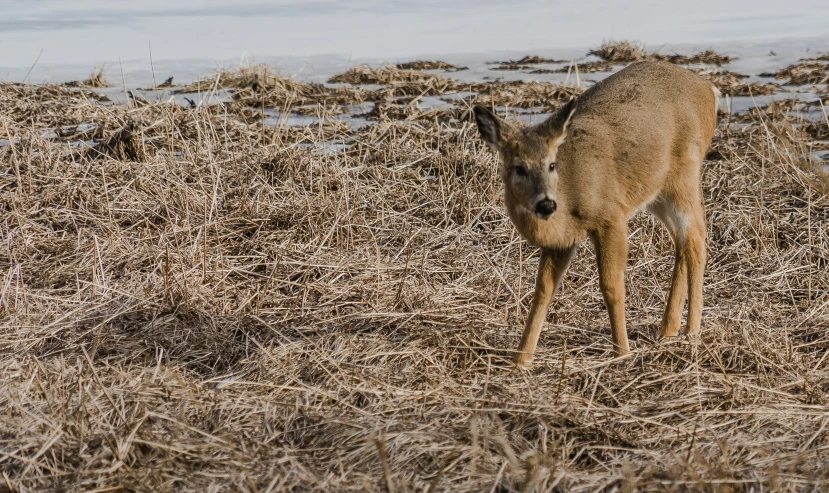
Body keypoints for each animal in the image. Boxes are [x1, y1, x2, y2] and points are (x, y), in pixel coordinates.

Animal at [472, 59, 720, 366]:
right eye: (519, 167)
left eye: (551, 164)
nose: (546, 204)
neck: (569, 198)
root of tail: (708, 89)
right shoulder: (562, 240)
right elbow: (543, 290)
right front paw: (521, 359)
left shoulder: (610, 216)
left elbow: (611, 286)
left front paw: (621, 352)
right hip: (657, 192)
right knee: (682, 242)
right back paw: (667, 330)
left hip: (685, 175)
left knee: (696, 239)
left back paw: (691, 332)